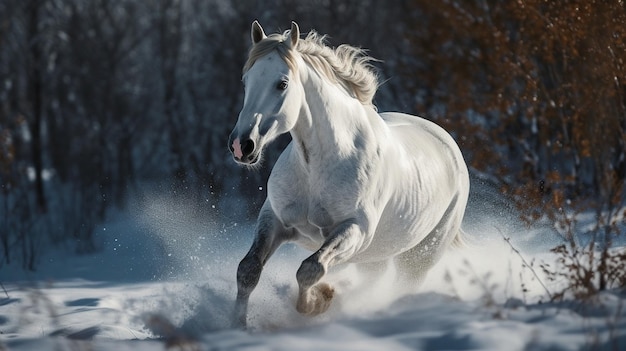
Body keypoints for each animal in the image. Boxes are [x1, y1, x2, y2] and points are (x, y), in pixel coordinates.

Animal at [227, 22, 466, 330]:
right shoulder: (274, 219)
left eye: (282, 83)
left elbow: (311, 268)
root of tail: (447, 142)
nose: (241, 145)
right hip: (374, 256)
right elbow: (248, 270)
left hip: (417, 259)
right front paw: (237, 326)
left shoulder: (354, 230)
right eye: (246, 81)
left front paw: (320, 301)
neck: (318, 166)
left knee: (401, 286)